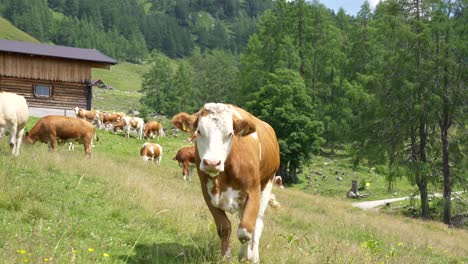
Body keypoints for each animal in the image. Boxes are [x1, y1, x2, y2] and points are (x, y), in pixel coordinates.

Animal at [173, 102, 280, 262]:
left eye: (230, 134)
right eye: (199, 131)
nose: (212, 163)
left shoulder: (253, 191)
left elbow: (245, 231)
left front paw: (247, 256)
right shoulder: (208, 194)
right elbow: (224, 228)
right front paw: (226, 256)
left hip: (267, 184)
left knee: (257, 224)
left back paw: (253, 256)